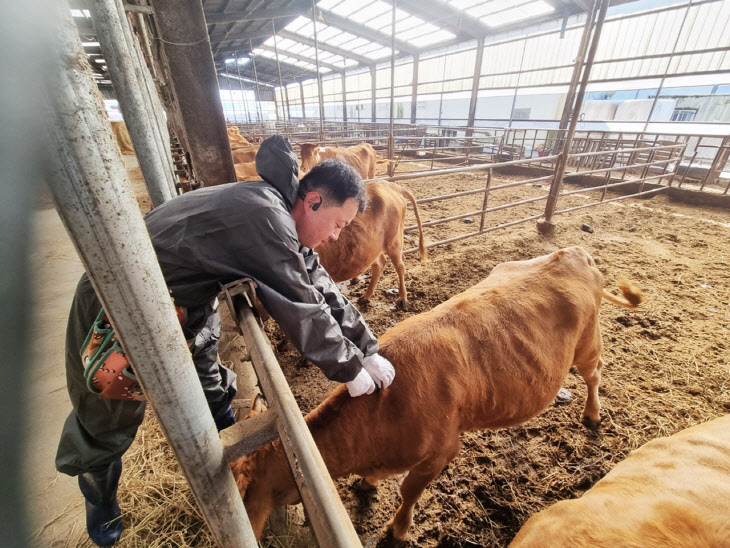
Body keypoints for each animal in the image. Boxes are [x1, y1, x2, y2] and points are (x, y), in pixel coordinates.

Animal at [230, 247, 640, 540]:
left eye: (245, 494)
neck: (383, 411)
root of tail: (573, 252)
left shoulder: (442, 450)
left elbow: (408, 492)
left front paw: (397, 530)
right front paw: (369, 484)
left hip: (588, 344)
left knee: (595, 375)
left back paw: (592, 414)